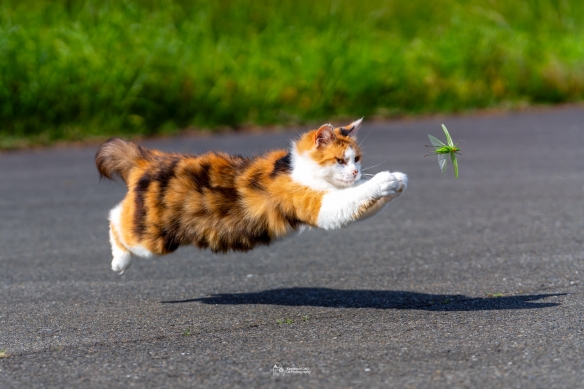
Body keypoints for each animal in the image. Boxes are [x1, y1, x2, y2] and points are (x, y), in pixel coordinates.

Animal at [94, 118, 406, 272]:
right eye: (340, 160)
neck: (298, 168)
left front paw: (398, 181)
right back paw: (118, 263)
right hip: (152, 238)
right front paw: (385, 179)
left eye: (357, 159)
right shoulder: (318, 204)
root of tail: (149, 158)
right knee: (114, 219)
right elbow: (353, 197)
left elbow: (360, 200)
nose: (354, 172)